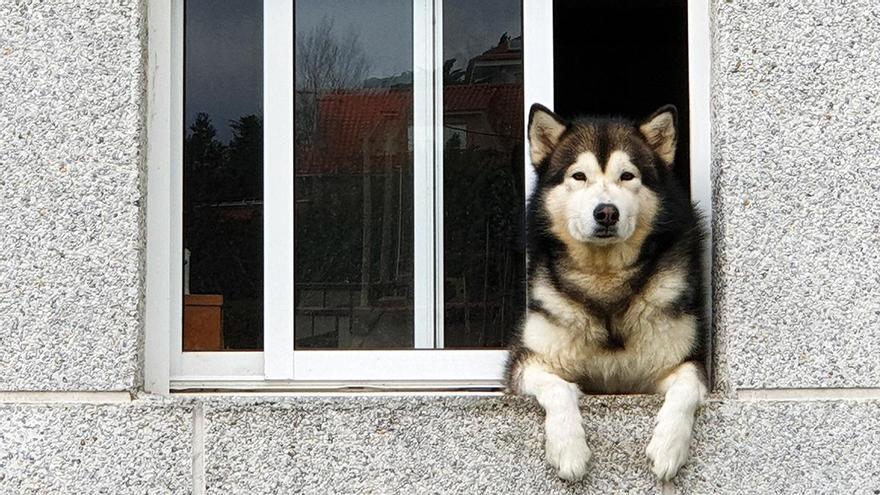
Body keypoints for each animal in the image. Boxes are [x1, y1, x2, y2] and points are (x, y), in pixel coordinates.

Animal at [506, 103, 704, 480]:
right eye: (579, 176)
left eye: (627, 176)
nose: (607, 212)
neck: (604, 276)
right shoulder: (527, 361)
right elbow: (558, 387)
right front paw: (569, 449)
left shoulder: (677, 363)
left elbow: (686, 387)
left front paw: (669, 446)